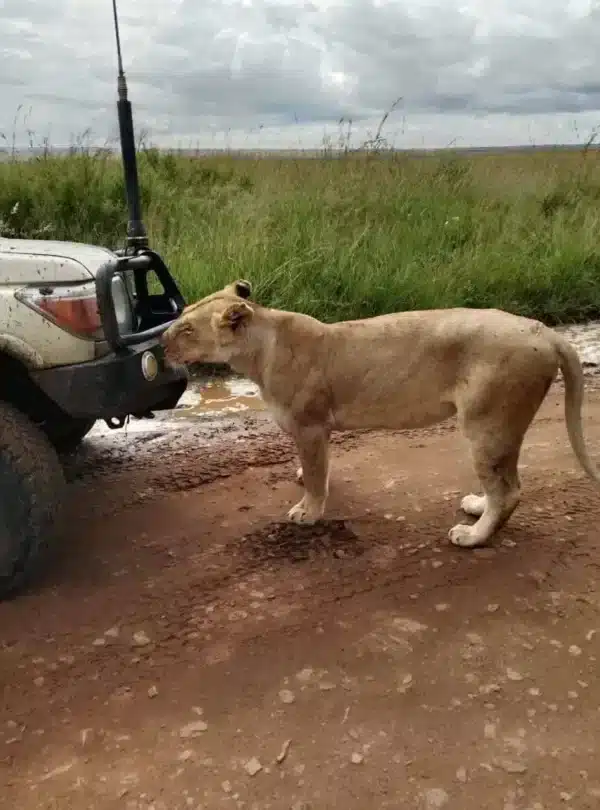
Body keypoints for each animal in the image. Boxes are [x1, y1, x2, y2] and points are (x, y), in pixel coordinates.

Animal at [161, 280, 600, 548]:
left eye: (187, 330)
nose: (161, 341)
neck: (259, 347)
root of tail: (545, 330)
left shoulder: (309, 426)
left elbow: (316, 478)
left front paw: (309, 512)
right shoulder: (320, 430)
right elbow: (321, 467)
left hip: (488, 425)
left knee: (508, 491)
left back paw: (473, 536)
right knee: (501, 487)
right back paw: (477, 506)